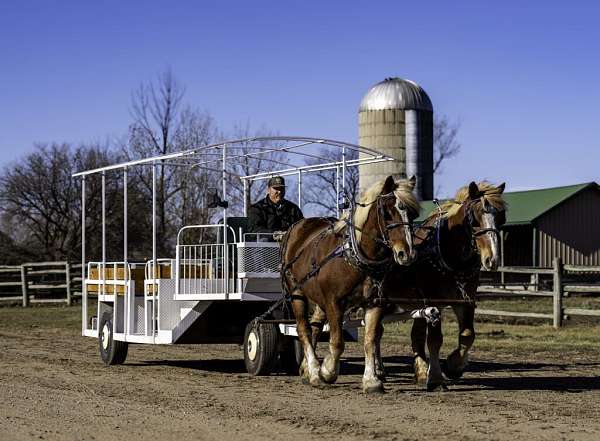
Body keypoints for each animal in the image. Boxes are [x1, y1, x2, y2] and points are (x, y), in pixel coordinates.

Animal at [280, 175, 418, 384]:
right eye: (387, 212)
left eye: (413, 214)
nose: (406, 254)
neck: (355, 255)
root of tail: (294, 229)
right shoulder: (334, 301)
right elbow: (337, 341)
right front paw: (327, 371)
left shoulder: (374, 302)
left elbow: (370, 340)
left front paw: (371, 379)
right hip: (296, 292)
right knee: (303, 329)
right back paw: (314, 370)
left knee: (315, 326)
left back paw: (306, 368)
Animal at [366, 180, 506, 390]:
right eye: (474, 218)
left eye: (501, 218)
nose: (493, 259)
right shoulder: (434, 301)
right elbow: (434, 340)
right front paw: (437, 378)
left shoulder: (465, 301)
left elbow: (467, 335)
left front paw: (453, 366)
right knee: (376, 332)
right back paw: (379, 371)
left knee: (402, 334)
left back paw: (409, 371)